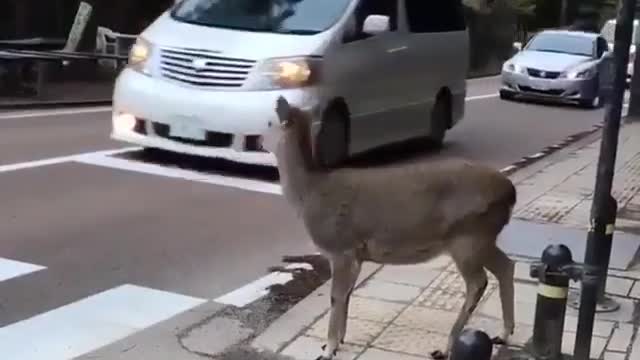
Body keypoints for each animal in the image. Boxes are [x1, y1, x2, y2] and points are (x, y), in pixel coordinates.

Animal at [262, 96, 516, 360]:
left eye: (269, 121)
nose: (258, 140)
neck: (307, 195)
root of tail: (510, 192)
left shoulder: (340, 247)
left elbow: (336, 296)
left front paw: (328, 348)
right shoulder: (356, 254)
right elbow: (347, 295)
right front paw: (339, 340)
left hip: (467, 236)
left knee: (478, 282)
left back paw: (447, 347)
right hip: (484, 236)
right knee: (506, 265)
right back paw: (504, 333)